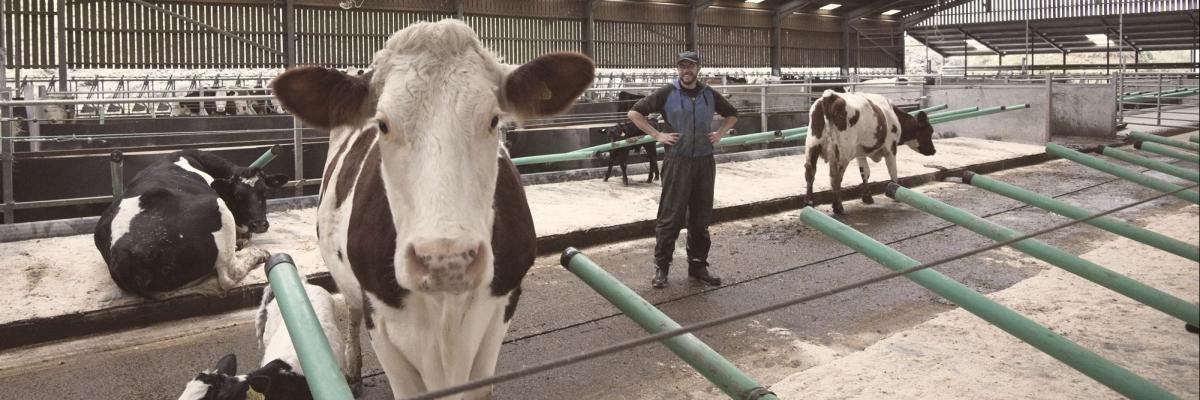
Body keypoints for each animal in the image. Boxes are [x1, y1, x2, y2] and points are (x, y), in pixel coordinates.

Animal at [93, 147, 288, 294]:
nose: (260, 224)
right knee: (228, 274)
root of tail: (123, 255)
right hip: (218, 207)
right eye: (238, 196)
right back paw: (258, 253)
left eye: (265, 192)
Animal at [270, 18, 592, 396]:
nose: (445, 260)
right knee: (350, 311)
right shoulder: (379, 317)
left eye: (493, 120)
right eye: (382, 124)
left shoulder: (502, 307)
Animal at [806, 89, 936, 215]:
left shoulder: (860, 152)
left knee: (810, 171)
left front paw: (867, 197)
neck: (894, 116)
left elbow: (865, 172)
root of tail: (831, 96)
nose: (934, 150)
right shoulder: (890, 147)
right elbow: (893, 170)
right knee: (836, 176)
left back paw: (809, 203)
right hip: (843, 152)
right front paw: (896, 192)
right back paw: (838, 207)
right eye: (929, 131)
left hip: (813, 145)